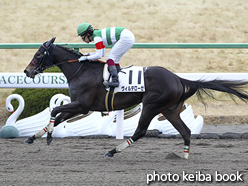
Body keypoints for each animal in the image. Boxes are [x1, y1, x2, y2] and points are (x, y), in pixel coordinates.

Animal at [23, 37, 248, 158]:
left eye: (38, 54)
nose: (27, 71)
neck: (81, 70)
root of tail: (177, 78)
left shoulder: (83, 105)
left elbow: (55, 110)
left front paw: (48, 135)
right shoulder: (79, 106)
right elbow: (58, 116)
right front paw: (36, 137)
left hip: (150, 105)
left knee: (140, 131)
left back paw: (112, 151)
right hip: (170, 110)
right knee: (186, 131)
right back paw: (183, 156)